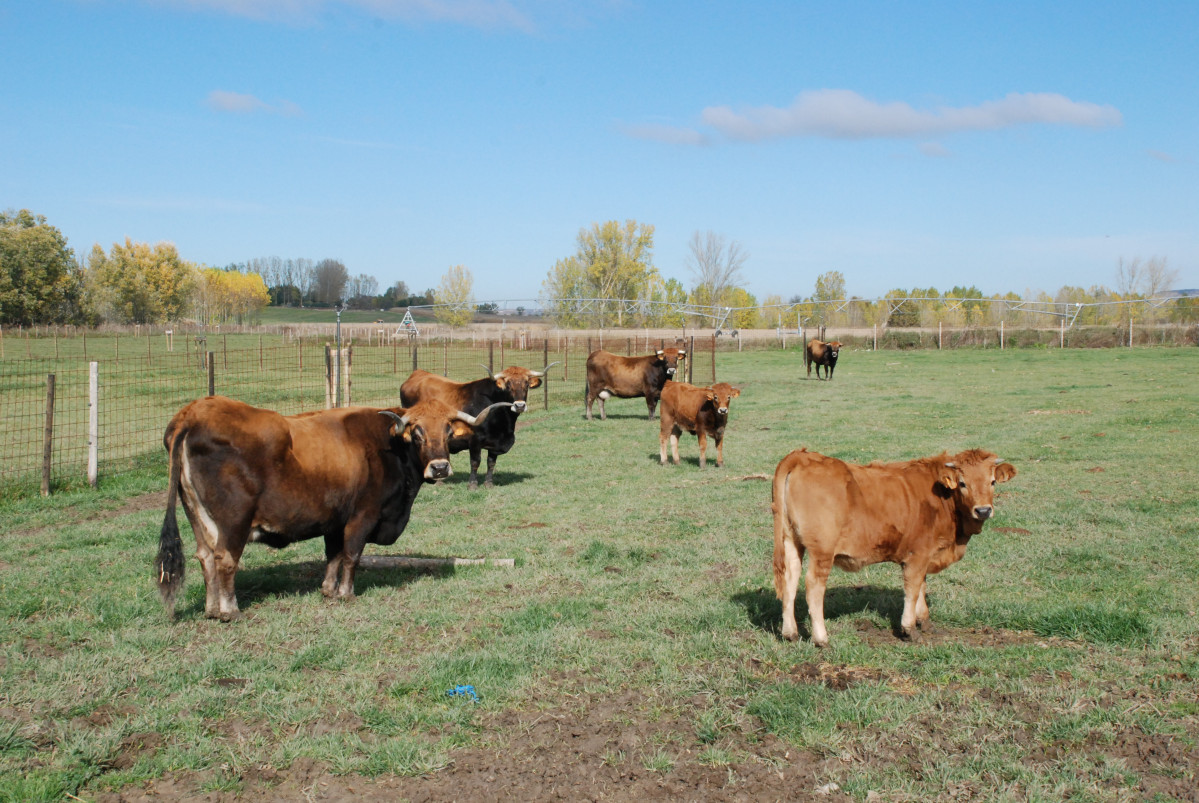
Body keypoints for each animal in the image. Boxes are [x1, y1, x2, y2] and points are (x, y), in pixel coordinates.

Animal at [152, 395, 508, 623]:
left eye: (447, 431)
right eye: (417, 433)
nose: (439, 468)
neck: (389, 446)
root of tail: (193, 413)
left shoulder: (335, 520)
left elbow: (333, 555)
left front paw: (327, 590)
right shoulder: (362, 516)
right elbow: (351, 555)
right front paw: (346, 594)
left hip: (199, 518)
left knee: (205, 557)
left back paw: (212, 609)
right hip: (234, 521)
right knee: (225, 559)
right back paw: (230, 611)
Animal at [400, 364, 553, 491]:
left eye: (526, 384)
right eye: (508, 385)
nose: (519, 405)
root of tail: (417, 374)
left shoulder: (495, 443)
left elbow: (491, 463)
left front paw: (489, 483)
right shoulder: (474, 440)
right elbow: (475, 462)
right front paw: (472, 484)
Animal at [772, 450, 1016, 651]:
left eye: (993, 481)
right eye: (963, 483)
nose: (983, 510)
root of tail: (803, 455)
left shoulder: (924, 556)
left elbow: (921, 586)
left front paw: (924, 621)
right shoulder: (918, 555)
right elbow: (912, 589)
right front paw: (909, 629)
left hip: (791, 541)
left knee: (790, 580)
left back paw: (790, 633)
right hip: (822, 550)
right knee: (813, 586)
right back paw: (821, 639)